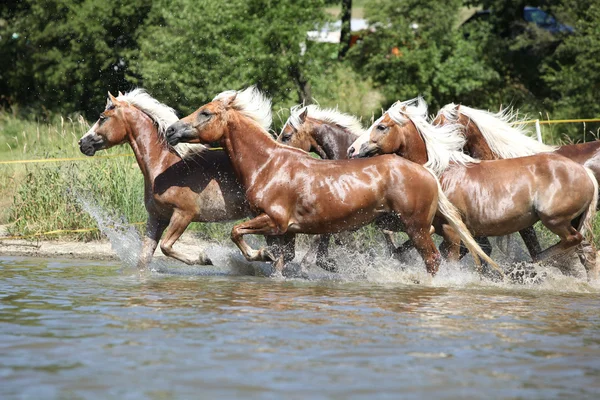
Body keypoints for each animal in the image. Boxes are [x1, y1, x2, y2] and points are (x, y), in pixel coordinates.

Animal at [78, 90, 258, 268]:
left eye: (102, 117)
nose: (82, 143)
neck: (163, 166)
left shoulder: (183, 214)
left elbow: (165, 246)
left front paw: (204, 259)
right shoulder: (156, 217)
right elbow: (144, 258)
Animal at [350, 99, 596, 282]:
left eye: (381, 126)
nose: (352, 149)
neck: (440, 172)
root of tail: (585, 172)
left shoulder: (451, 230)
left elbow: (452, 260)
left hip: (555, 220)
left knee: (570, 242)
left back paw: (526, 266)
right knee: (583, 250)